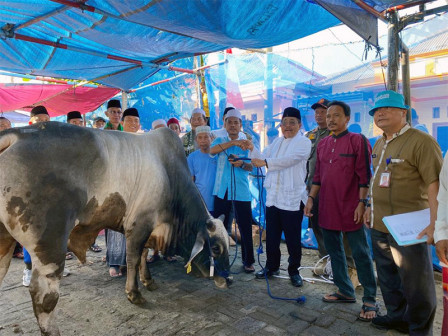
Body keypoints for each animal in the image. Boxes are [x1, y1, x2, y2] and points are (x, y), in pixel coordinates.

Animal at [0, 123, 231, 336]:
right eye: (216, 248)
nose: (228, 280)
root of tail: (16, 134)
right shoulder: (137, 227)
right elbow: (133, 259)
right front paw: (134, 294)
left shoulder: (147, 229)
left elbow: (144, 255)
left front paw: (148, 281)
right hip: (49, 245)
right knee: (44, 296)